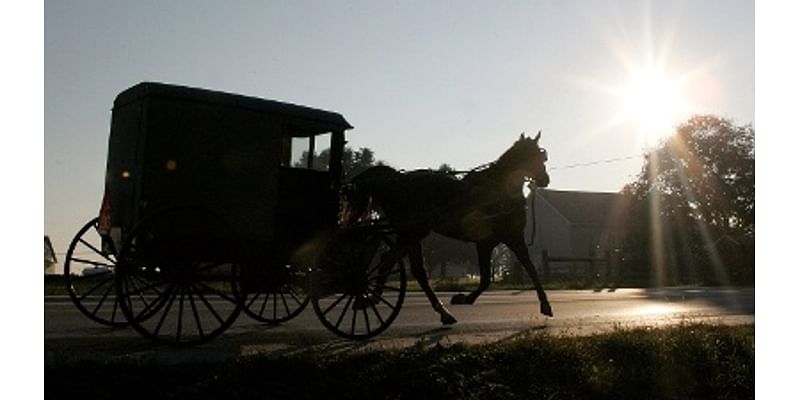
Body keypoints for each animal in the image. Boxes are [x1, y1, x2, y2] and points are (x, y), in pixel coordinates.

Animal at [340, 131, 552, 324]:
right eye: (535, 156)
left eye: (542, 156)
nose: (545, 179)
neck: (498, 190)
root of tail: (395, 180)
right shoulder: (495, 241)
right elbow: (497, 276)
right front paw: (465, 298)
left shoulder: (507, 239)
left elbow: (521, 269)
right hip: (413, 232)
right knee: (400, 264)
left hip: (411, 233)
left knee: (401, 265)